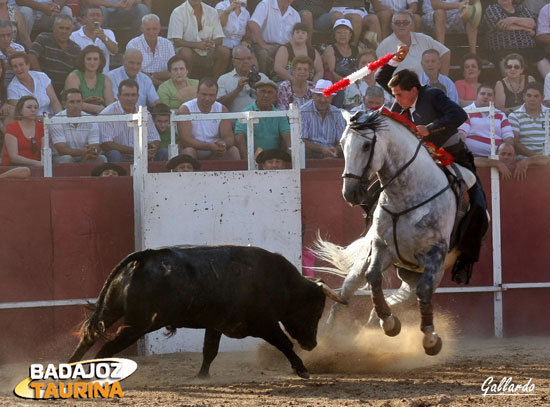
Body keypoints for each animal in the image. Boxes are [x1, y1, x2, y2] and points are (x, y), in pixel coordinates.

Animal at [69, 245, 344, 380]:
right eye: (316, 310)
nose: (312, 344)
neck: (280, 282)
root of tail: (146, 257)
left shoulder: (215, 325)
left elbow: (209, 350)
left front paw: (201, 376)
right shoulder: (265, 324)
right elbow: (285, 343)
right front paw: (303, 369)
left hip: (111, 309)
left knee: (89, 338)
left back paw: (71, 367)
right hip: (137, 325)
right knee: (106, 348)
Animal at [316, 110, 476, 356]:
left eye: (366, 146)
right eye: (342, 144)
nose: (349, 193)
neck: (405, 197)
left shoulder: (434, 254)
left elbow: (424, 292)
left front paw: (430, 339)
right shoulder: (381, 247)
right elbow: (373, 278)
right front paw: (390, 323)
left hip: (419, 276)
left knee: (405, 297)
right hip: (364, 266)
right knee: (343, 298)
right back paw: (329, 337)